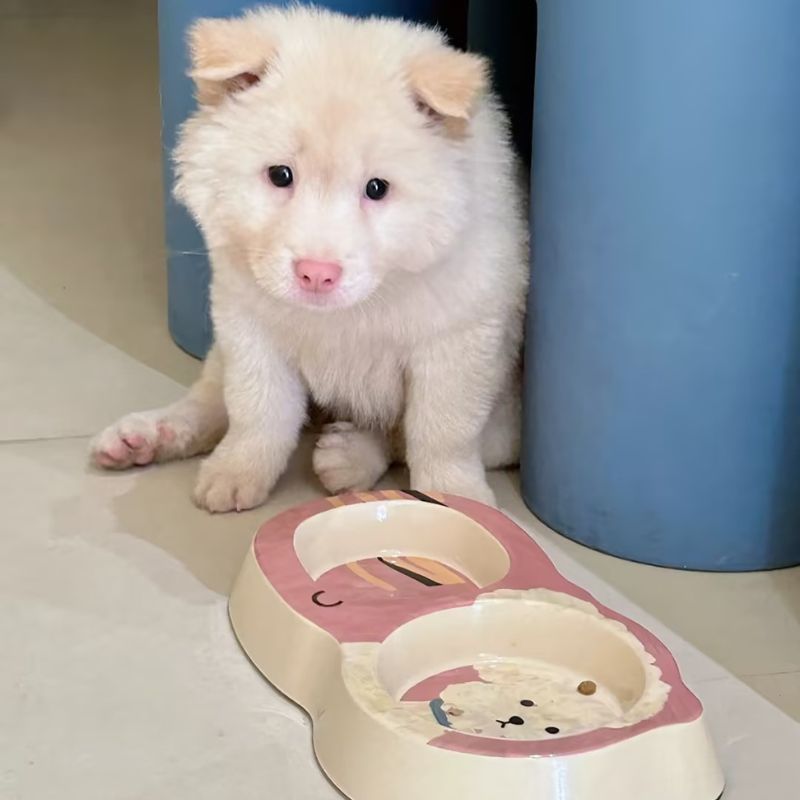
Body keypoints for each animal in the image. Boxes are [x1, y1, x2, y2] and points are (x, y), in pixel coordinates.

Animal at [90, 4, 528, 512]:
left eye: (376, 188)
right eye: (280, 175)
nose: (316, 275)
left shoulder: (458, 341)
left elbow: (440, 431)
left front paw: (456, 497)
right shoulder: (248, 325)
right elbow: (258, 411)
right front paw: (237, 473)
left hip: (509, 416)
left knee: (401, 435)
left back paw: (348, 455)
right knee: (209, 399)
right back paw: (145, 436)